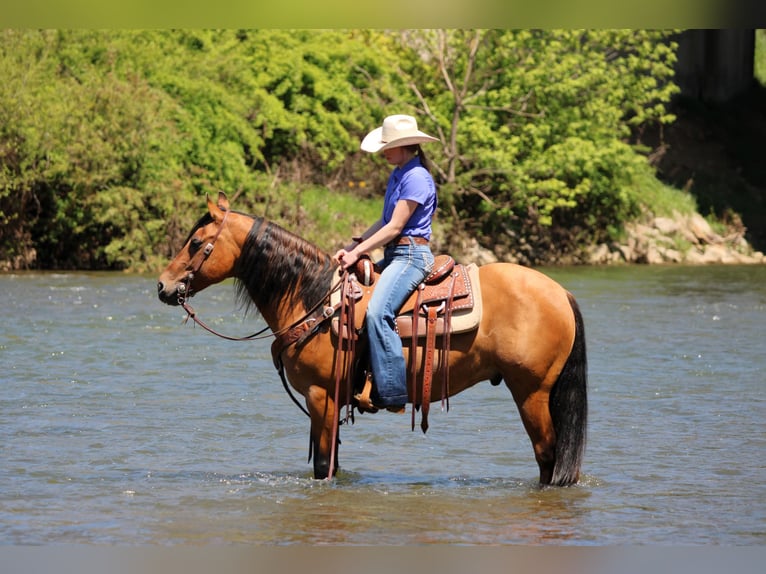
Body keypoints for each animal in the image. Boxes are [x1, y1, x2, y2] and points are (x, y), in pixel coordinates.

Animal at [157, 192, 587, 486]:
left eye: (195, 243)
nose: (163, 286)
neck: (314, 299)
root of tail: (561, 292)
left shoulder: (321, 395)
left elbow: (324, 464)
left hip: (531, 391)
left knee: (548, 455)